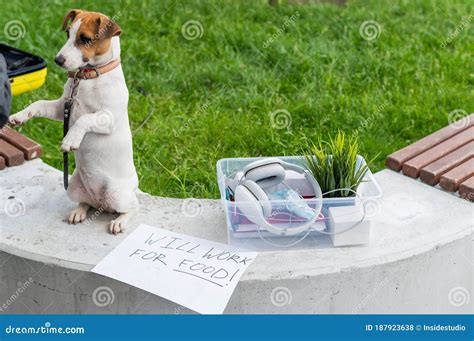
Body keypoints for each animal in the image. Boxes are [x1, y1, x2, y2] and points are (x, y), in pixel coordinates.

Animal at [8, 9, 139, 234]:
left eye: (85, 39)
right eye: (68, 33)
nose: (58, 60)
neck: (88, 77)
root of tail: (102, 203)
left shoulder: (108, 117)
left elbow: (85, 118)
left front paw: (70, 140)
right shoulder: (63, 107)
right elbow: (38, 103)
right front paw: (21, 116)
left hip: (118, 195)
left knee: (132, 207)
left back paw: (120, 221)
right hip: (74, 187)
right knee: (87, 203)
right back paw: (79, 211)